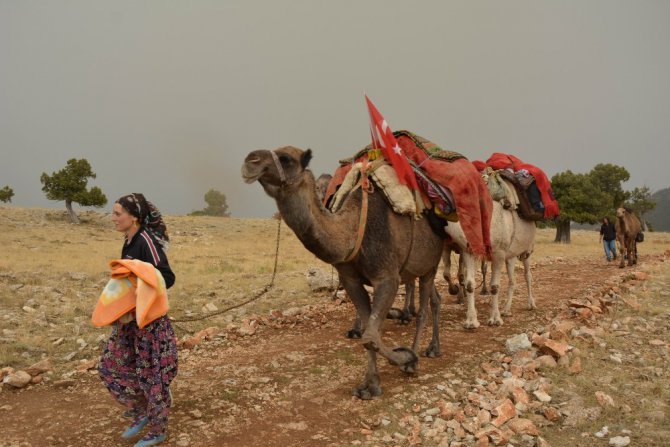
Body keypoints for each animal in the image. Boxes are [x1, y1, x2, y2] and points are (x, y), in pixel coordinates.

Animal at [243, 148, 446, 400]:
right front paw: (370, 385)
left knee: (425, 310)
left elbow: (371, 336)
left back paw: (419, 356)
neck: (351, 229)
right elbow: (371, 333)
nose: (250, 161)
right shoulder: (351, 280)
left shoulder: (388, 278)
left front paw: (405, 356)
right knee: (433, 299)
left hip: (431, 265)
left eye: (286, 159)